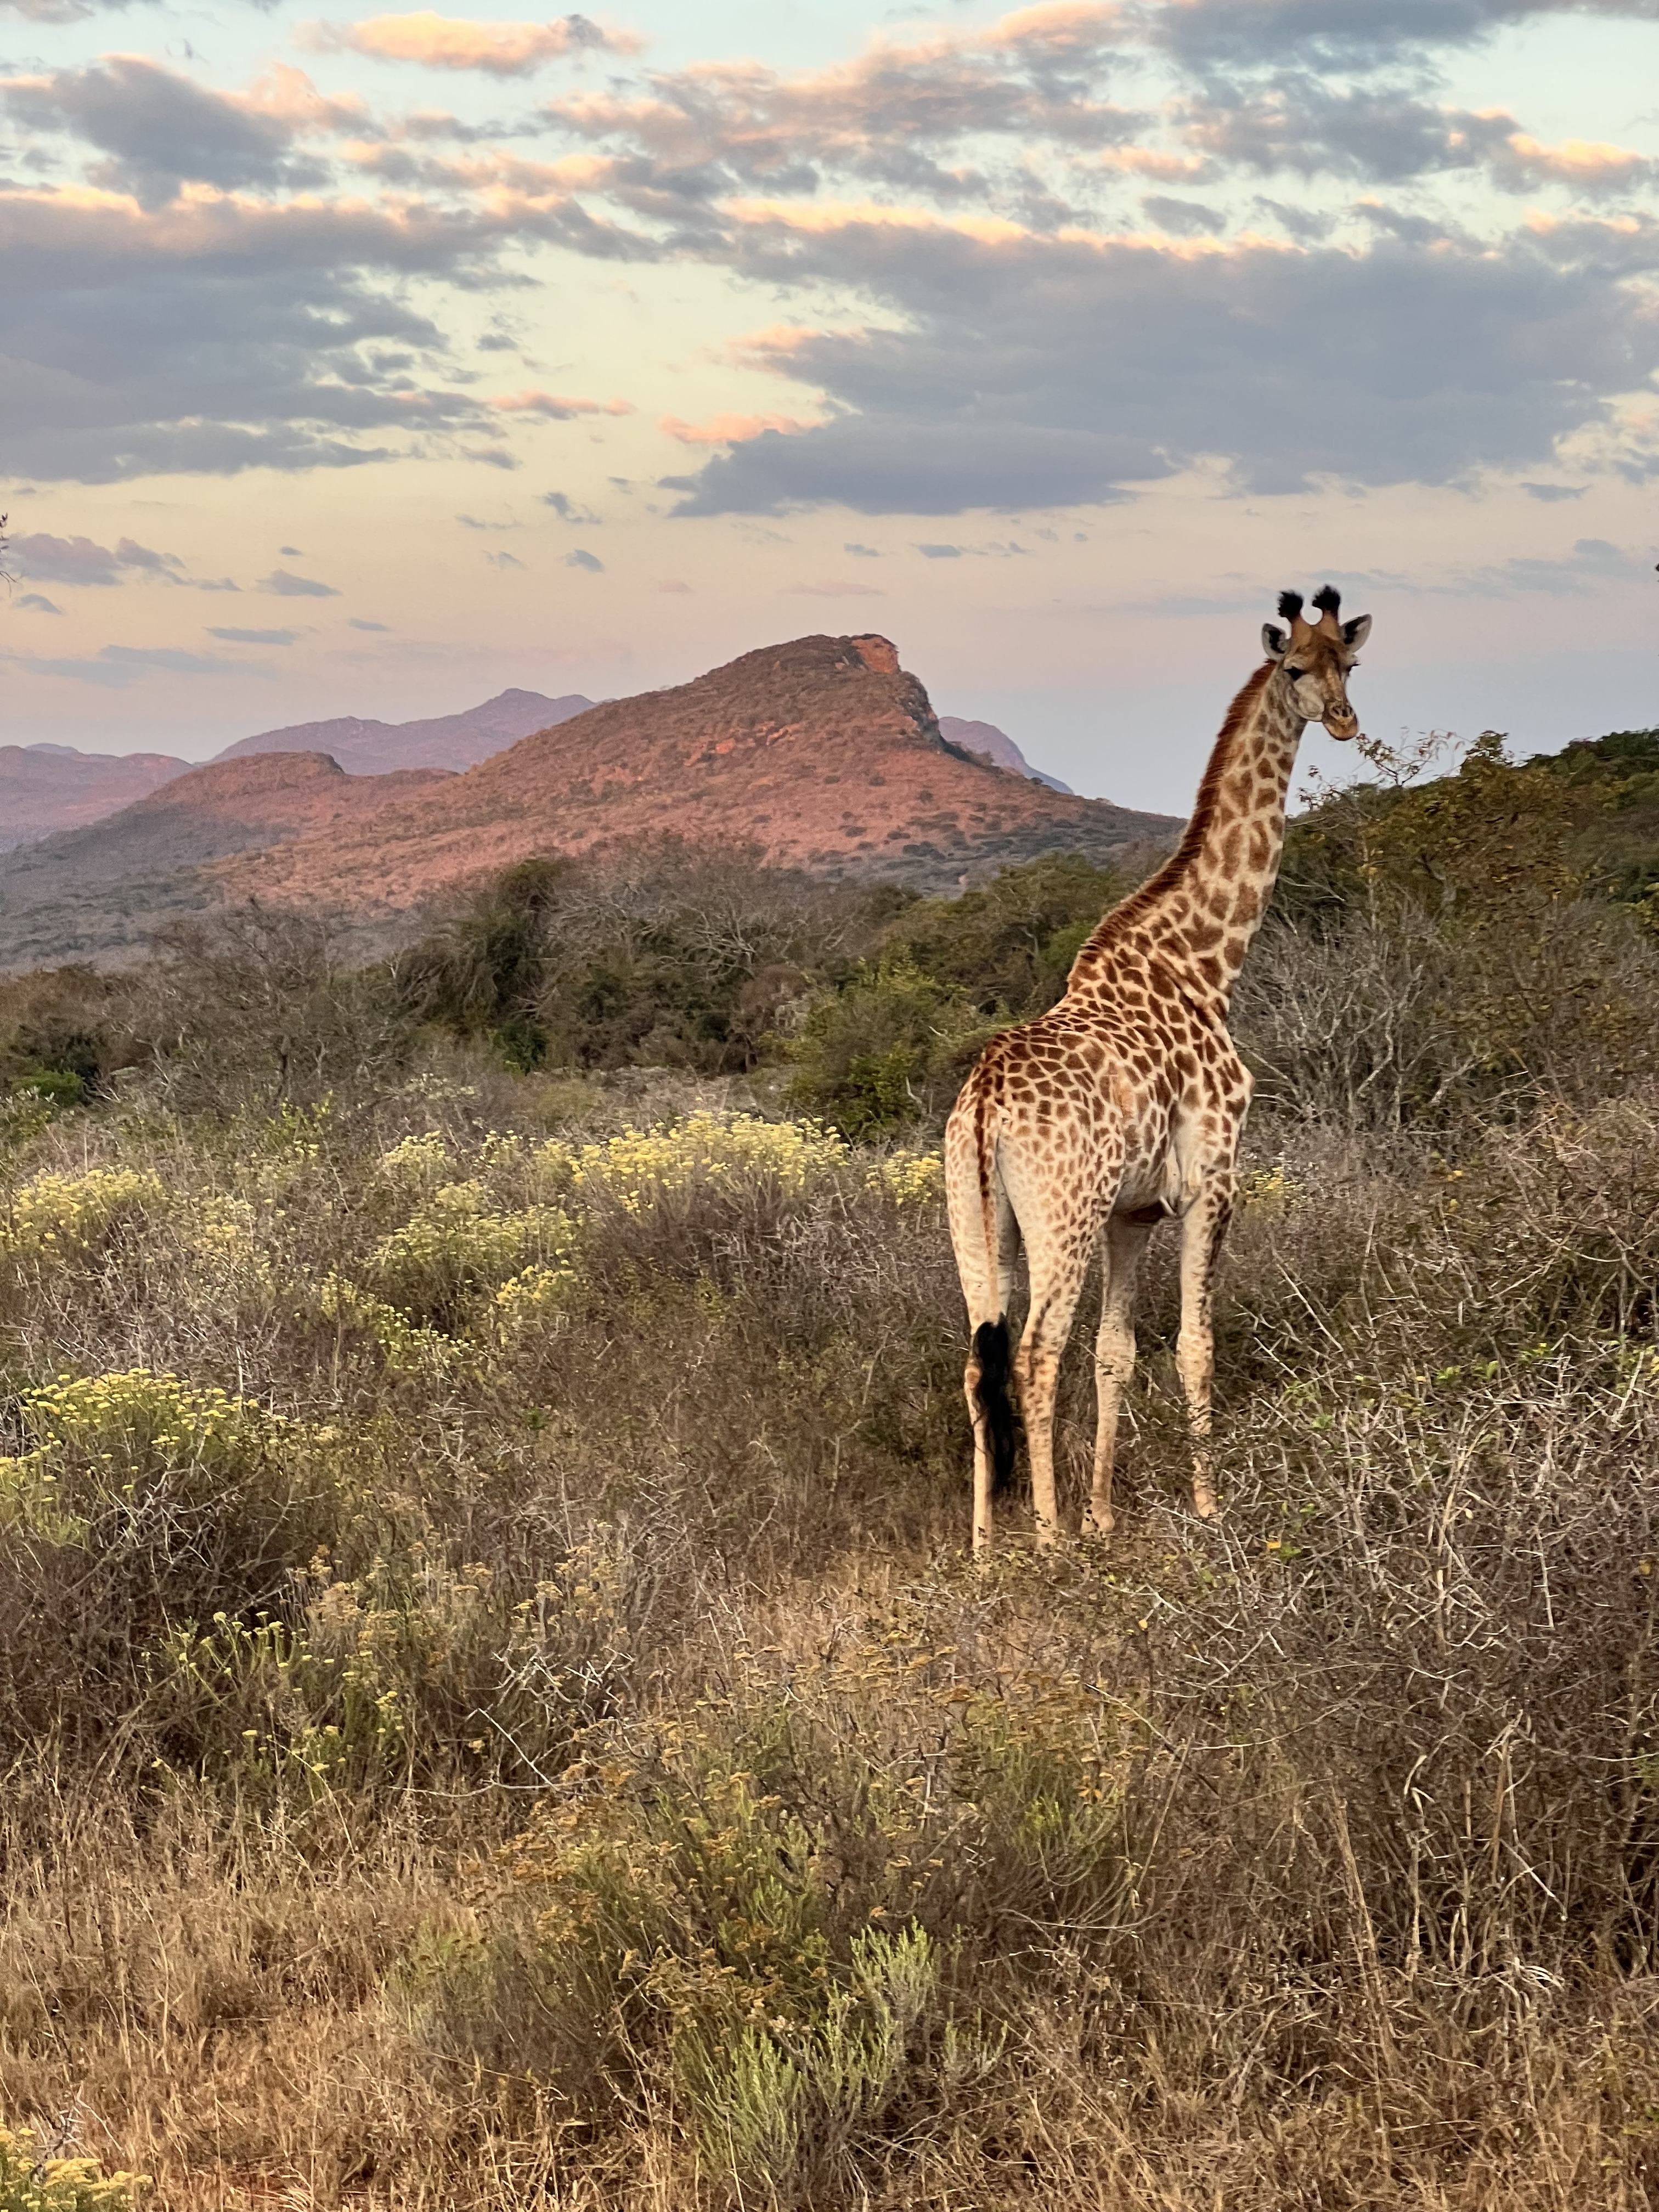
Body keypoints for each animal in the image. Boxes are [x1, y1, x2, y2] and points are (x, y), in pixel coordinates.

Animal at [944, 585, 1371, 1554]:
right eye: (1297, 667)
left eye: (1352, 664)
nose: (1345, 721)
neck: (1208, 962)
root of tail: (983, 1101)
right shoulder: (1215, 1176)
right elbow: (1193, 1345)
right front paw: (1209, 1506)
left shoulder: (1132, 1211)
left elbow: (1117, 1353)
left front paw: (1106, 1514)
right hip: (1059, 1213)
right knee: (1035, 1351)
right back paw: (1047, 1539)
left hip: (978, 1220)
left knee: (979, 1358)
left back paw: (985, 1550)